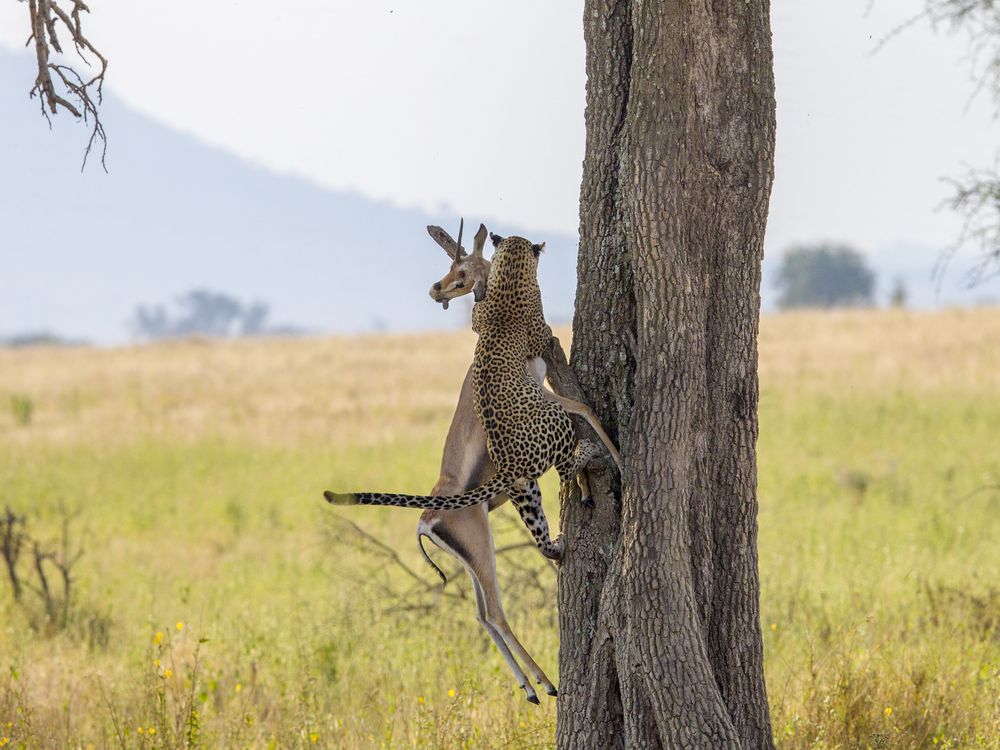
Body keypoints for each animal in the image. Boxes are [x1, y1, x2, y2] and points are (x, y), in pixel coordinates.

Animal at [324, 233, 601, 561]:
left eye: (460, 274)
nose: (436, 289)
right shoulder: (541, 357)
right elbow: (575, 397)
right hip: (544, 445)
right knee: (565, 466)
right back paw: (589, 453)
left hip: (523, 493)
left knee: (542, 539)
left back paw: (559, 542)